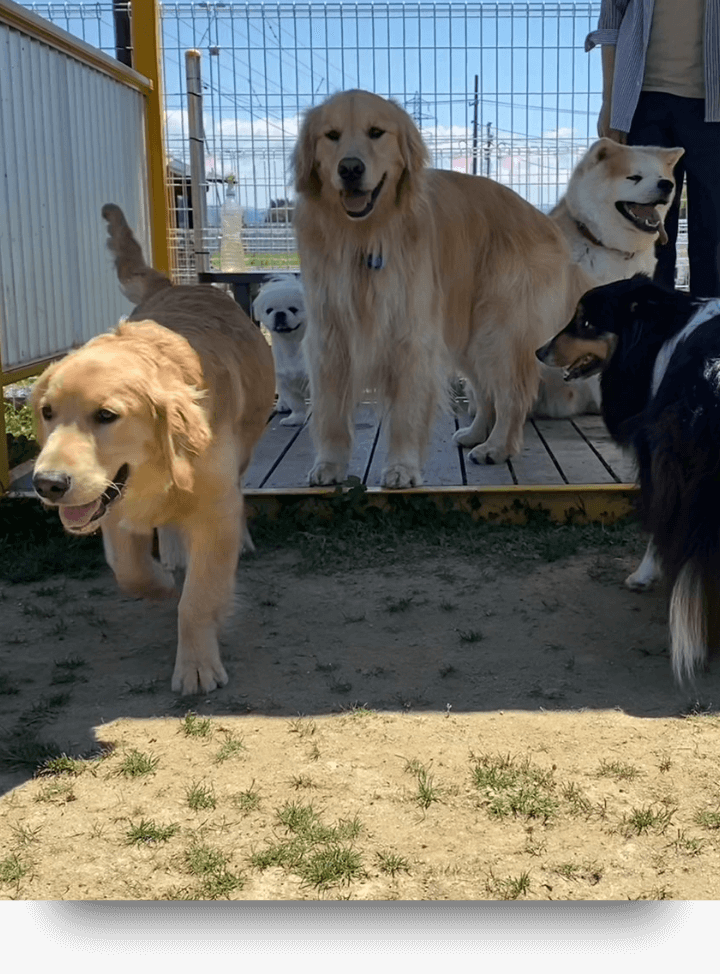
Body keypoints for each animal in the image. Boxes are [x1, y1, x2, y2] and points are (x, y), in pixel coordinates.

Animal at [253, 274, 310, 428]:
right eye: (269, 310)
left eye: (293, 309)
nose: (279, 313)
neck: (292, 345)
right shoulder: (286, 382)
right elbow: (296, 405)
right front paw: (296, 419)